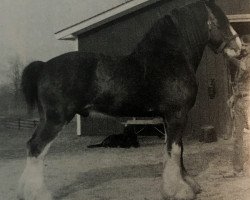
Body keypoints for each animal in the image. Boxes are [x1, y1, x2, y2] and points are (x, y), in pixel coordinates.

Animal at [17, 0, 246, 199]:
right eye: (221, 22)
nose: (241, 49)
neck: (170, 59)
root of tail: (44, 66)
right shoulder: (177, 115)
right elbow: (175, 150)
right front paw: (179, 191)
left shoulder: (171, 118)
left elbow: (175, 150)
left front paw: (185, 185)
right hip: (55, 120)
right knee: (36, 148)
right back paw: (37, 194)